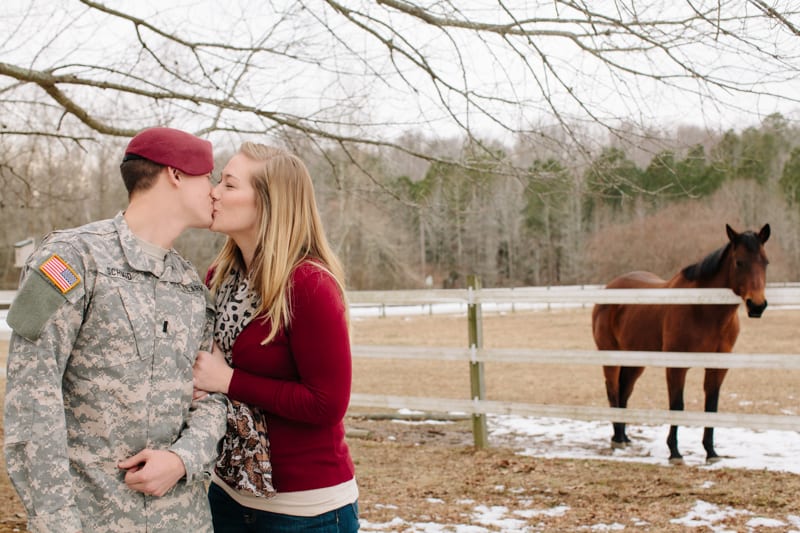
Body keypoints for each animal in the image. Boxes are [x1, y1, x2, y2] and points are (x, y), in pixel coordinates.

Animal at [592, 222, 768, 464]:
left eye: (765, 262)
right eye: (739, 262)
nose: (757, 305)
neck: (702, 308)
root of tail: (610, 288)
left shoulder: (718, 366)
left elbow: (711, 406)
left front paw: (711, 452)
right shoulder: (676, 365)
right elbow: (677, 405)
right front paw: (674, 452)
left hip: (636, 359)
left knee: (624, 391)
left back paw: (624, 437)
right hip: (611, 356)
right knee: (612, 390)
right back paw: (617, 438)